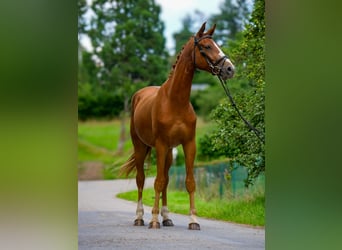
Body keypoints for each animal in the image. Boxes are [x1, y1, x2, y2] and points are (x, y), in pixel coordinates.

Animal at [120, 22, 235, 229]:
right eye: (206, 46)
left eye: (217, 44)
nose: (230, 69)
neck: (175, 102)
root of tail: (138, 95)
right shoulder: (160, 145)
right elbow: (157, 182)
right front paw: (154, 220)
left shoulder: (189, 144)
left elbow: (189, 182)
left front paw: (193, 220)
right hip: (141, 146)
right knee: (141, 179)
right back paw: (140, 217)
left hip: (168, 153)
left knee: (165, 180)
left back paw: (167, 217)